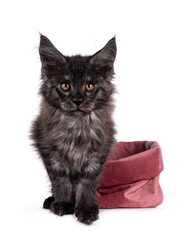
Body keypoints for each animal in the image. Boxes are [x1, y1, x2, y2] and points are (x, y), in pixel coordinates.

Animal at [31, 34, 117, 225]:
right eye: (65, 85)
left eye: (89, 86)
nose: (77, 100)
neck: (76, 127)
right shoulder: (51, 154)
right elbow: (61, 182)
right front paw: (63, 204)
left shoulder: (97, 156)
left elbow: (86, 184)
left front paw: (86, 209)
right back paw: (51, 201)